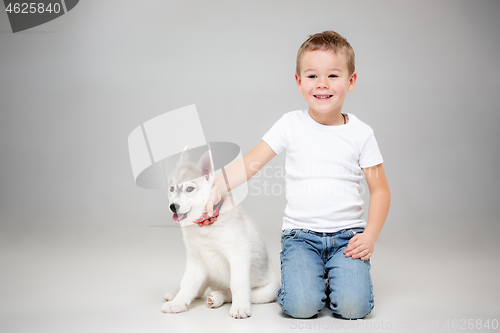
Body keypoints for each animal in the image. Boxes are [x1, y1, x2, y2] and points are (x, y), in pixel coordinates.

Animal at [161, 149, 280, 318]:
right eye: (171, 189)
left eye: (189, 189)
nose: (173, 206)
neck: (204, 224)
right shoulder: (196, 260)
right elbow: (188, 284)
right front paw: (178, 302)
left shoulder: (239, 254)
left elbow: (237, 284)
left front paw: (240, 307)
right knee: (198, 289)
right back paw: (176, 294)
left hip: (266, 292)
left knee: (231, 292)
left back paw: (218, 297)